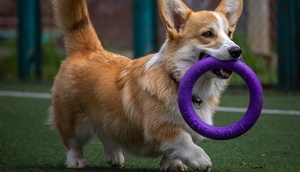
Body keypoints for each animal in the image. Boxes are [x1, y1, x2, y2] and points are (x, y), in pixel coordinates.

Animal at [49, 0, 244, 171]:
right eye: (208, 34)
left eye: (229, 33)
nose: (237, 51)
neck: (176, 80)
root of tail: (88, 50)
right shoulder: (160, 127)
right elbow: (183, 141)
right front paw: (200, 159)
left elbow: (174, 151)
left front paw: (172, 165)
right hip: (71, 119)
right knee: (72, 142)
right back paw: (76, 161)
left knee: (107, 134)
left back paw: (114, 156)